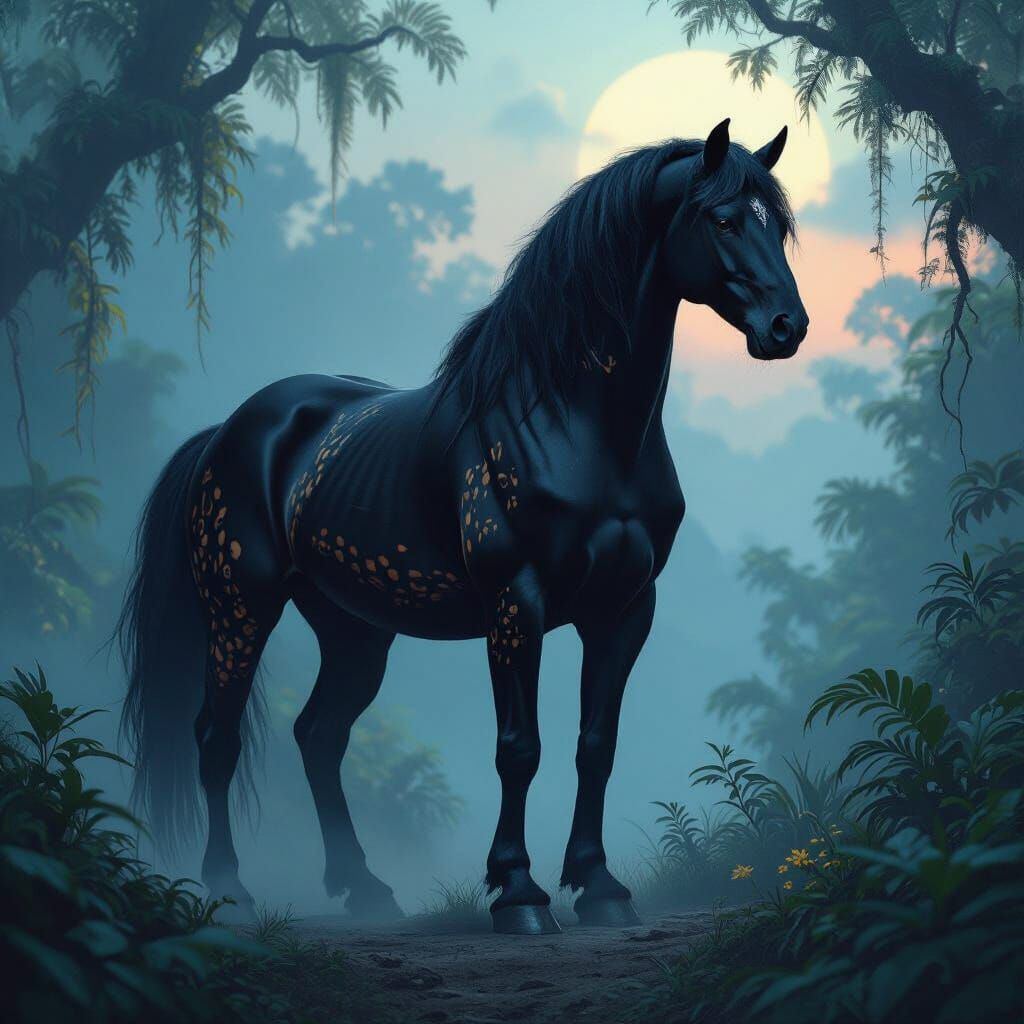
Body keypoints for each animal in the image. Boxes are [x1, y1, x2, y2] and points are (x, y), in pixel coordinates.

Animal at [118, 117, 808, 935]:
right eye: (724, 220)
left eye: (780, 227)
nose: (788, 327)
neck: (579, 425)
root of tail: (228, 431)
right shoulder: (517, 605)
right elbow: (520, 748)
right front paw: (518, 891)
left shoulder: (624, 609)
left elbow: (596, 745)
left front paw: (600, 887)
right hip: (239, 607)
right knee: (217, 737)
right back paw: (230, 892)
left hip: (354, 628)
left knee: (319, 736)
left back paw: (365, 889)